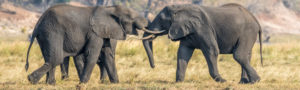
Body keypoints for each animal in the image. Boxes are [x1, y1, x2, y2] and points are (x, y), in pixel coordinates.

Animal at [24, 4, 163, 84]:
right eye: (131, 18)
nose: (154, 67)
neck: (110, 9)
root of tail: (39, 21)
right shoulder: (94, 33)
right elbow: (92, 54)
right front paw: (83, 83)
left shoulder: (104, 32)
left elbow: (108, 55)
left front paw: (116, 83)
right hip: (52, 31)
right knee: (56, 58)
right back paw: (32, 80)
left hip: (46, 34)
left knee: (50, 57)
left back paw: (50, 84)